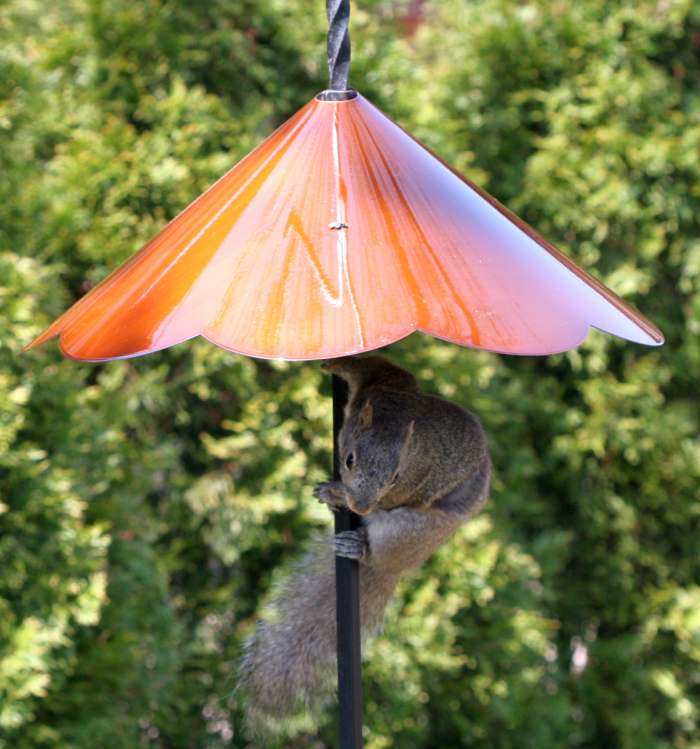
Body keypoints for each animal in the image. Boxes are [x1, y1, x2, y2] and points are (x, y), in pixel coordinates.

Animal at [239, 355, 491, 734]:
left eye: (396, 477)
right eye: (349, 459)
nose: (360, 507)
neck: (396, 418)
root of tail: (398, 567)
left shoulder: (412, 486)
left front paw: (336, 493)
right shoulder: (384, 384)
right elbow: (376, 367)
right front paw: (335, 363)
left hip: (408, 532)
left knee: (379, 552)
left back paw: (358, 547)